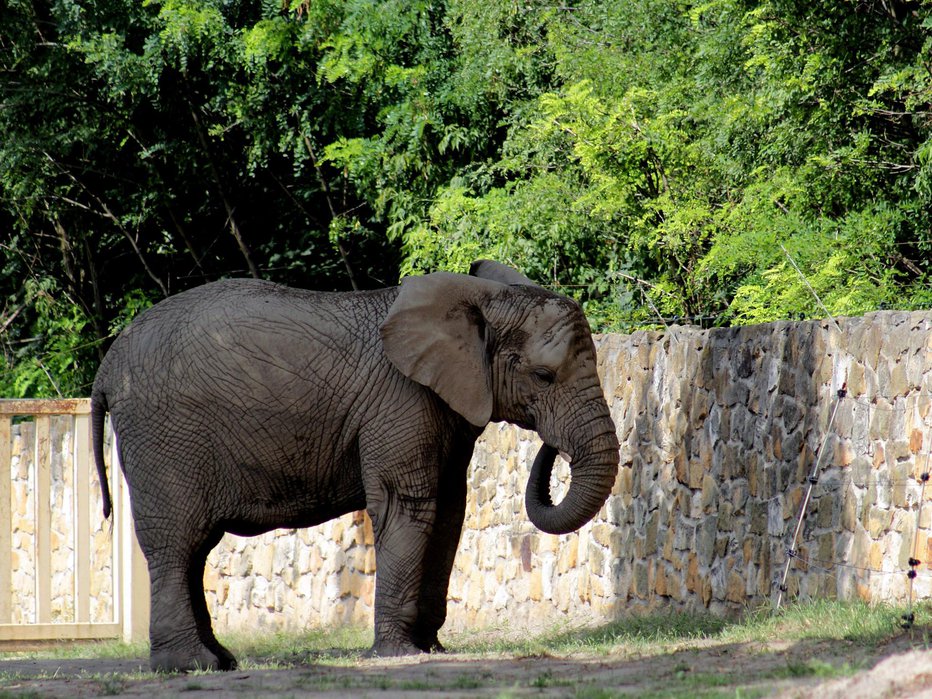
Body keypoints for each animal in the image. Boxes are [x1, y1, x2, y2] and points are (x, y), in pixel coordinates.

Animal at [91, 262, 624, 672]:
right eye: (543, 376)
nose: (552, 445)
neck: (479, 299)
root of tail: (105, 368)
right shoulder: (402, 402)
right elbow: (408, 507)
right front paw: (400, 653)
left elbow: (449, 512)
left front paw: (432, 648)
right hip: (163, 436)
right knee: (178, 543)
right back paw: (189, 666)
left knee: (194, 550)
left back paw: (220, 661)